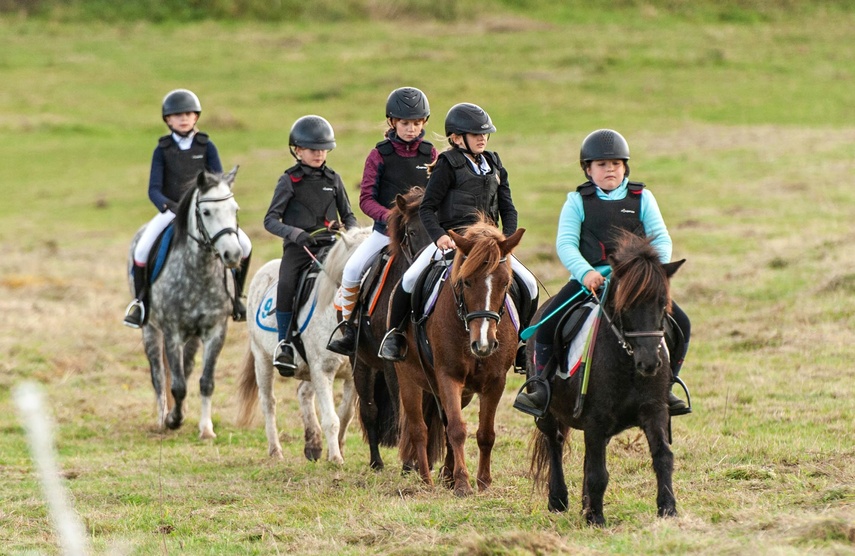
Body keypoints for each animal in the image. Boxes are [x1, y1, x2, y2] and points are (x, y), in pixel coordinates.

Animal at [130, 167, 244, 436]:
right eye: (206, 212)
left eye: (235, 210)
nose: (233, 255)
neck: (199, 272)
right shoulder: (172, 332)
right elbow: (177, 384)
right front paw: (173, 420)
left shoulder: (215, 331)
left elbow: (206, 381)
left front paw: (206, 428)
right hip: (151, 330)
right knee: (159, 374)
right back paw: (163, 416)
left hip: (193, 337)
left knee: (188, 367)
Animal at [532, 232, 684, 524]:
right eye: (625, 305)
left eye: (663, 303)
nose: (649, 362)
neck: (628, 365)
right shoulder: (596, 419)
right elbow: (598, 472)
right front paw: (596, 518)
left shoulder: (654, 410)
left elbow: (663, 457)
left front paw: (668, 508)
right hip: (547, 412)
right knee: (554, 443)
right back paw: (558, 499)